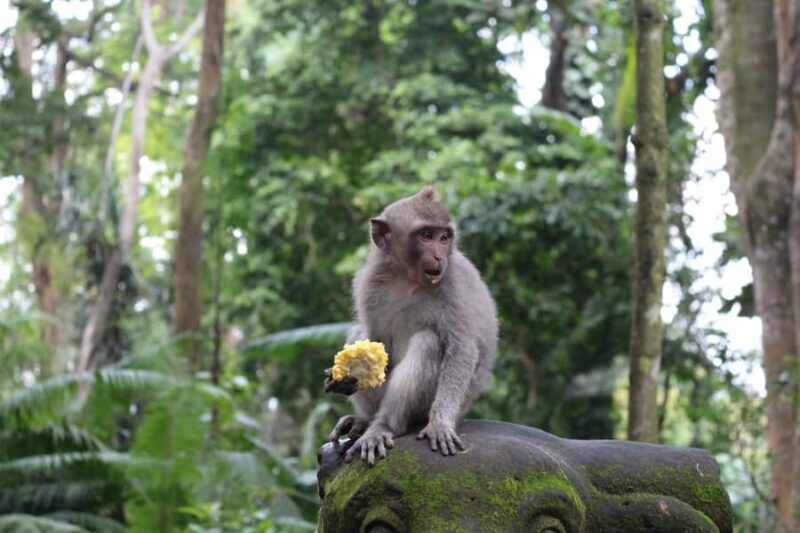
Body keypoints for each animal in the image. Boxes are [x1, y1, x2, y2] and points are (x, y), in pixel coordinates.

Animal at [324, 186, 498, 466]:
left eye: (444, 237)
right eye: (427, 236)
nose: (439, 255)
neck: (408, 278)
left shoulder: (453, 285)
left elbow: (462, 349)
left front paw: (440, 423)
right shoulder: (368, 283)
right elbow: (377, 342)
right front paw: (345, 379)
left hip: (425, 406)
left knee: (428, 341)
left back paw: (383, 426)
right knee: (358, 332)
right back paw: (363, 421)